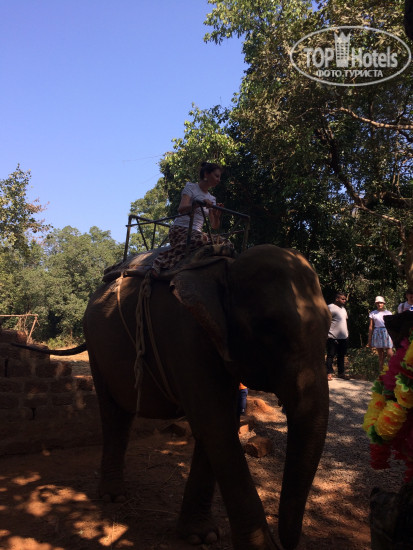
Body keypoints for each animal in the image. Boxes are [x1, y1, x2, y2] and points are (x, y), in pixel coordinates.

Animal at [23, 244, 331, 550]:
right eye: (269, 326)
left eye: (329, 326)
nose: (285, 544)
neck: (224, 268)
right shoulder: (186, 336)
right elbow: (215, 425)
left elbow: (219, 424)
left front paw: (201, 536)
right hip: (96, 346)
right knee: (112, 411)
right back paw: (113, 497)